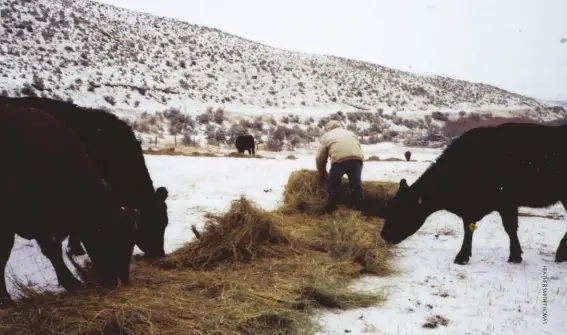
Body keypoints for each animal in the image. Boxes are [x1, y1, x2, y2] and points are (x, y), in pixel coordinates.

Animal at [380, 122, 567, 266]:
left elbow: (510, 228)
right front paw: (463, 256)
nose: (383, 235)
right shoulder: (470, 208)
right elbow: (468, 228)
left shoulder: (506, 203)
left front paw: (514, 256)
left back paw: (560, 254)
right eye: (390, 208)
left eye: (401, 211)